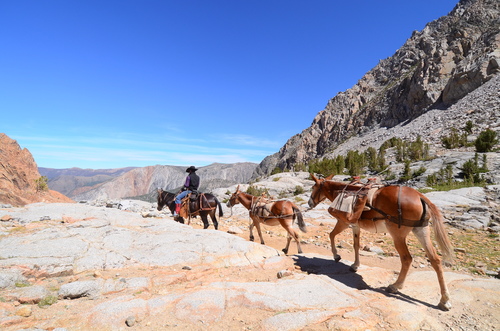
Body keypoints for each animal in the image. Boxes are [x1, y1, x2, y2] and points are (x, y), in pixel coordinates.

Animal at [306, 174, 456, 312]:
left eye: (313, 187)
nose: (309, 203)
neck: (342, 190)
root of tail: (420, 196)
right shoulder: (355, 226)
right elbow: (356, 245)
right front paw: (355, 265)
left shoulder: (343, 222)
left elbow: (331, 235)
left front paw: (337, 256)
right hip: (421, 231)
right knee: (435, 260)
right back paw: (444, 300)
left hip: (398, 236)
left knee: (407, 259)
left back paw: (395, 286)